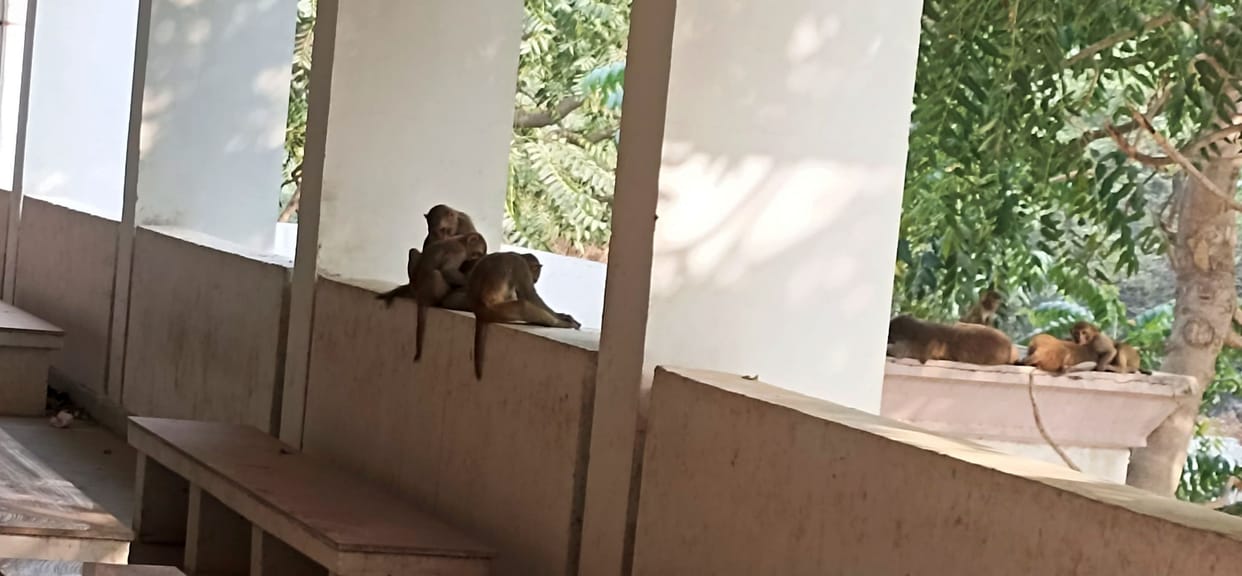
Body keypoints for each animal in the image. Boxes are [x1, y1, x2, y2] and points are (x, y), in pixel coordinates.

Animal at [412, 233, 488, 361]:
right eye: (477, 253)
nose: (475, 258)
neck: (460, 240)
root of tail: (420, 298)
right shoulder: (459, 252)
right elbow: (448, 270)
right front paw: (468, 283)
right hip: (431, 292)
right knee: (437, 274)